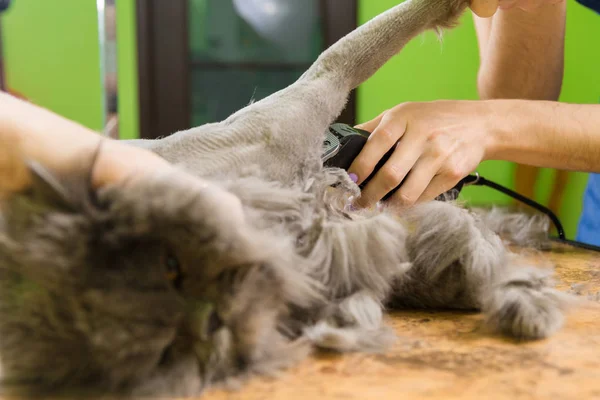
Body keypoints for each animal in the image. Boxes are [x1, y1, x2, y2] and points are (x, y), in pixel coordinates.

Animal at [0, 0, 572, 398]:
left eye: (170, 265)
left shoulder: (311, 94)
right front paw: (524, 304)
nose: (208, 321)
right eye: (163, 352)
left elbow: (381, 31)